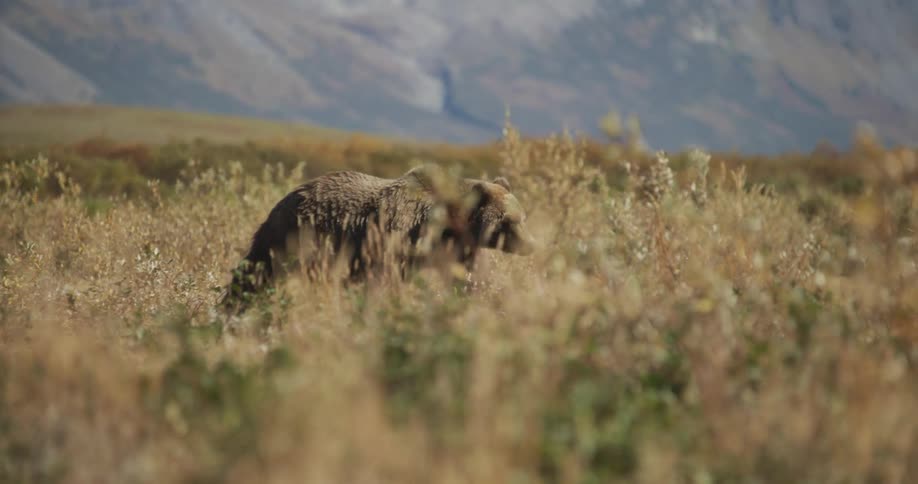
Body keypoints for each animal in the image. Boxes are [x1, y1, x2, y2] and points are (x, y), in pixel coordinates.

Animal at [220, 164, 534, 309]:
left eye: (523, 217)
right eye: (509, 221)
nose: (531, 245)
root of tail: (284, 198)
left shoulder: (456, 247)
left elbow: (468, 278)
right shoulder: (397, 236)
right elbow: (384, 278)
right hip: (294, 236)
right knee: (259, 271)